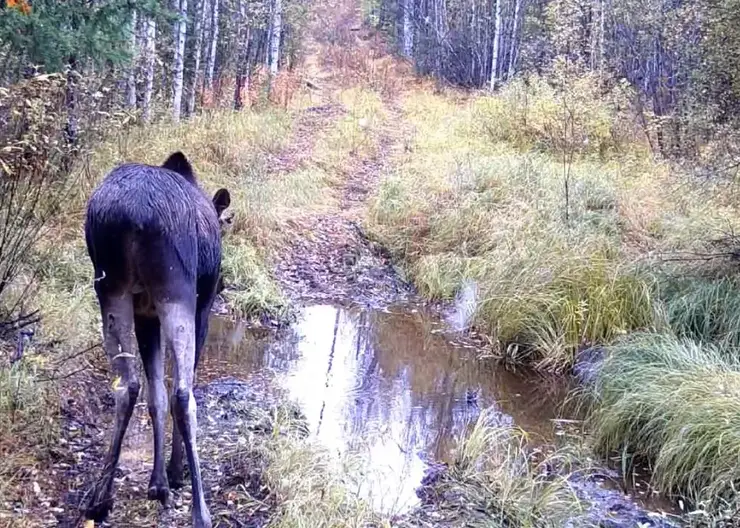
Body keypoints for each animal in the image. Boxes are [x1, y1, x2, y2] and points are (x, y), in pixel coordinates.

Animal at [83, 151, 231, 524]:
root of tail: (134, 216)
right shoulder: (203, 307)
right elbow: (174, 388)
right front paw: (174, 474)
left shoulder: (146, 316)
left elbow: (155, 395)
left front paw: (158, 482)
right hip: (177, 291)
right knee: (183, 393)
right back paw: (200, 512)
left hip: (111, 290)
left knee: (128, 385)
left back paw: (100, 499)